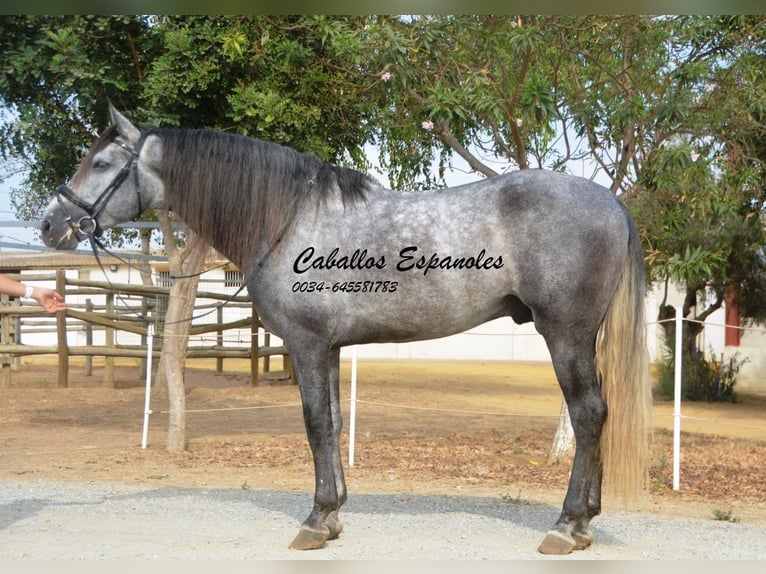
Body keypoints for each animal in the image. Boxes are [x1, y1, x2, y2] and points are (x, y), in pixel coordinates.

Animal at [40, 104, 651, 555]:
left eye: (101, 163)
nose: (51, 224)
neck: (286, 219)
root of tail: (609, 200)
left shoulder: (307, 344)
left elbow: (314, 425)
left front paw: (314, 521)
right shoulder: (330, 348)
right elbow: (332, 424)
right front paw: (332, 515)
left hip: (565, 333)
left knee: (588, 414)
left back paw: (566, 526)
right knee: (596, 415)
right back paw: (584, 524)